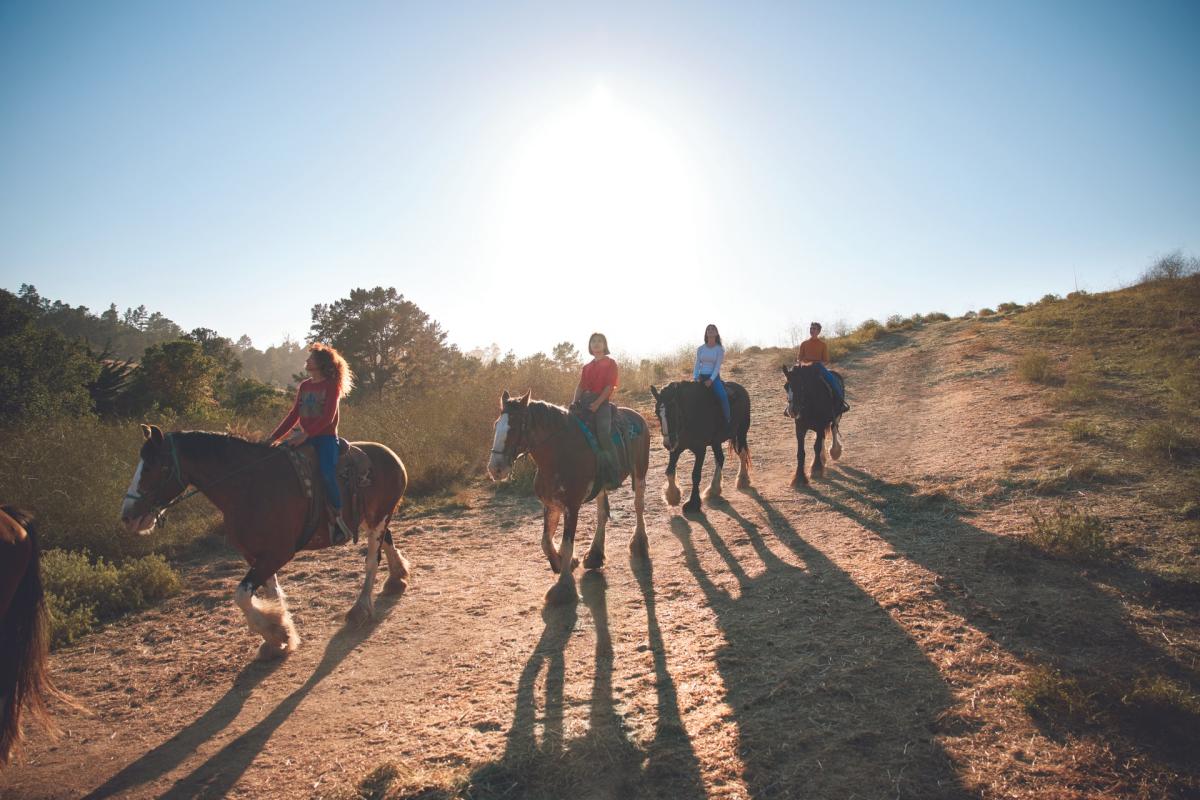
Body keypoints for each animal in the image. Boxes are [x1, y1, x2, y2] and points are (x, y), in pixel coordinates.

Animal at [120, 424, 412, 657]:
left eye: (155, 467)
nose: (128, 516)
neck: (249, 486)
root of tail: (391, 455)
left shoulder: (278, 553)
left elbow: (241, 595)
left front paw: (275, 633)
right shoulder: (256, 555)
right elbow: (271, 592)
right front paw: (281, 633)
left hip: (378, 518)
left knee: (371, 560)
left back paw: (360, 608)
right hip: (372, 518)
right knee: (386, 539)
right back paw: (397, 577)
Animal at [487, 388, 652, 606]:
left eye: (514, 427)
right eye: (496, 424)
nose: (495, 468)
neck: (559, 454)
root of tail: (637, 416)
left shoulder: (571, 507)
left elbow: (567, 543)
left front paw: (564, 586)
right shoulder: (551, 505)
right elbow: (545, 541)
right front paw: (561, 563)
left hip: (640, 471)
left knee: (638, 505)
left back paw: (639, 543)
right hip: (601, 487)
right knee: (602, 515)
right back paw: (594, 555)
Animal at [648, 381, 748, 513]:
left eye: (674, 411)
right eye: (656, 413)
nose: (667, 443)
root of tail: (741, 388)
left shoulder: (700, 450)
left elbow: (695, 475)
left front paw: (692, 503)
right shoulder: (676, 448)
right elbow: (669, 471)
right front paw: (672, 496)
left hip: (741, 432)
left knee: (742, 453)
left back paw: (742, 479)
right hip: (716, 442)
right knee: (720, 459)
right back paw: (713, 490)